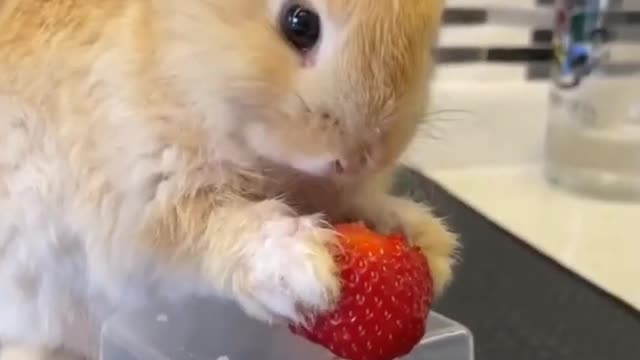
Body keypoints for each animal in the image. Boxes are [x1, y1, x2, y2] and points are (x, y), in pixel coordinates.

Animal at [0, 0, 460, 358]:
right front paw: (300, 270)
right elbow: (217, 228)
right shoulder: (149, 201)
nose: (362, 157)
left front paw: (428, 242)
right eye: (300, 23)